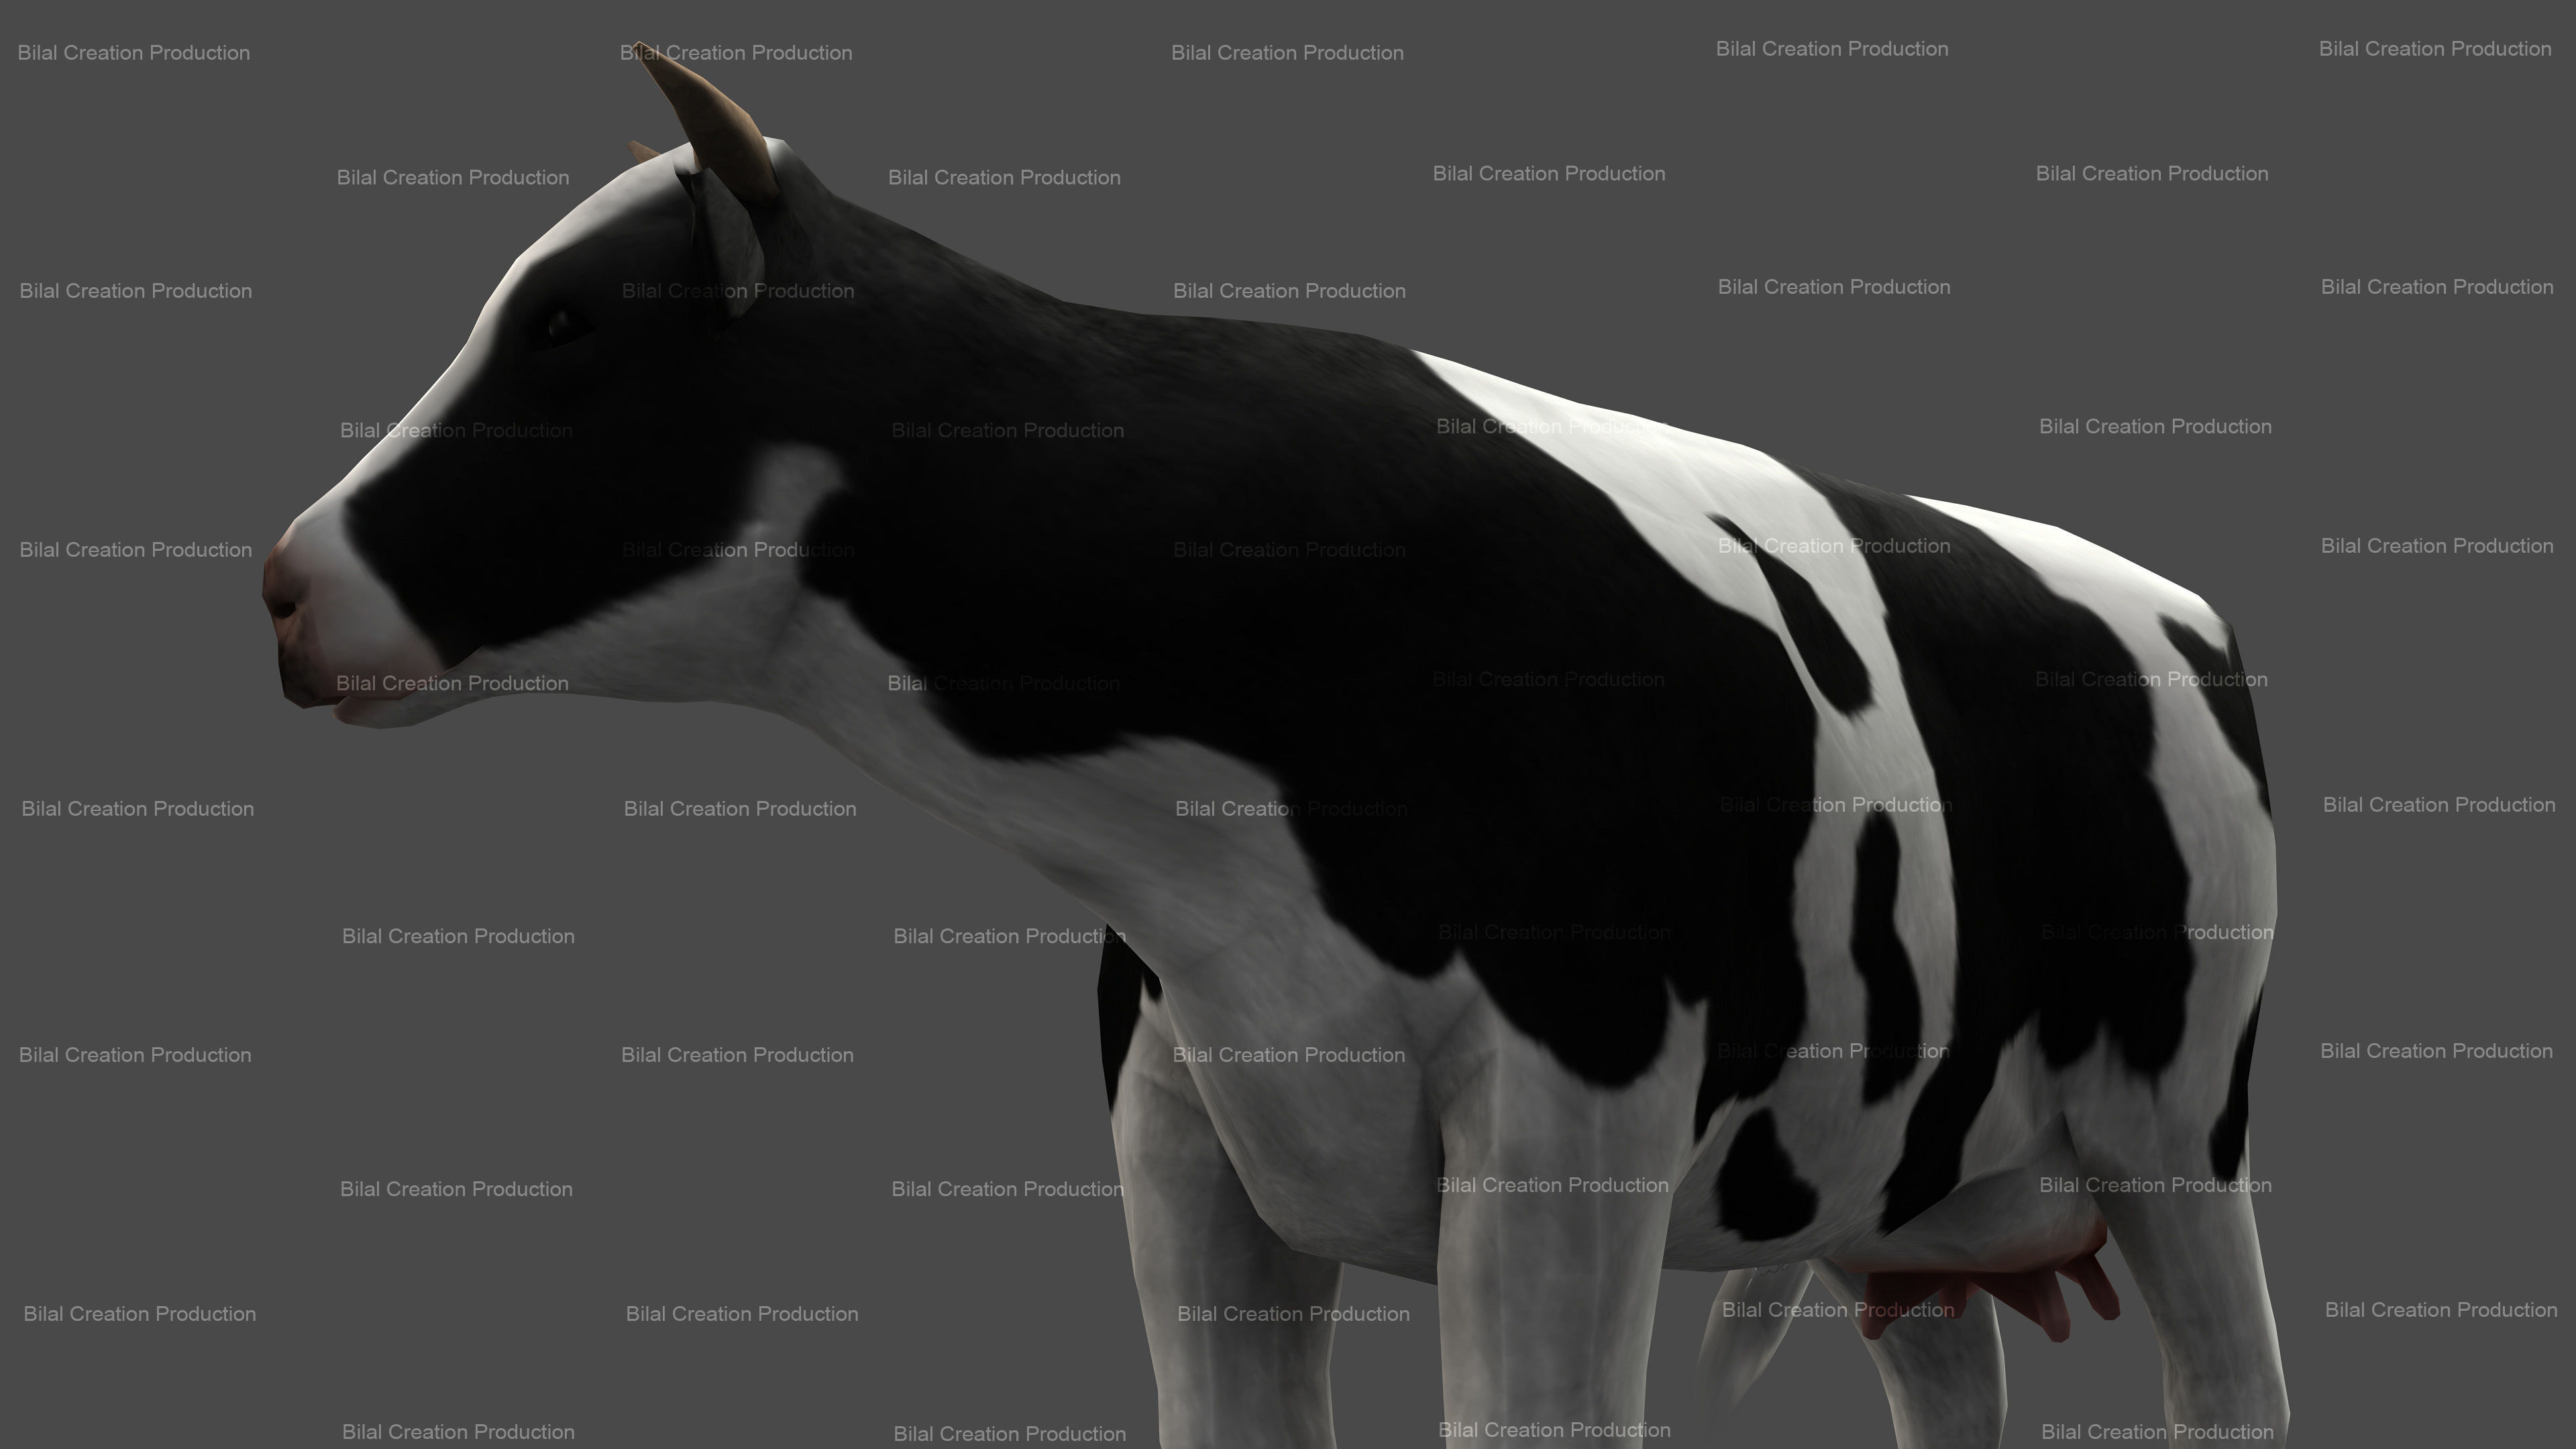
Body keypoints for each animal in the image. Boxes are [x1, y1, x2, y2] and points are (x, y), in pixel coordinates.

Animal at [263, 46, 2287, 1448]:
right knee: (1951, 1375)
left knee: (2228, 1382)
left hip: (2176, 1122)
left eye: (568, 327)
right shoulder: (1179, 1110)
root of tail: (2179, 596)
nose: (283, 582)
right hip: (1919, 1195)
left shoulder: (1573, 1105)